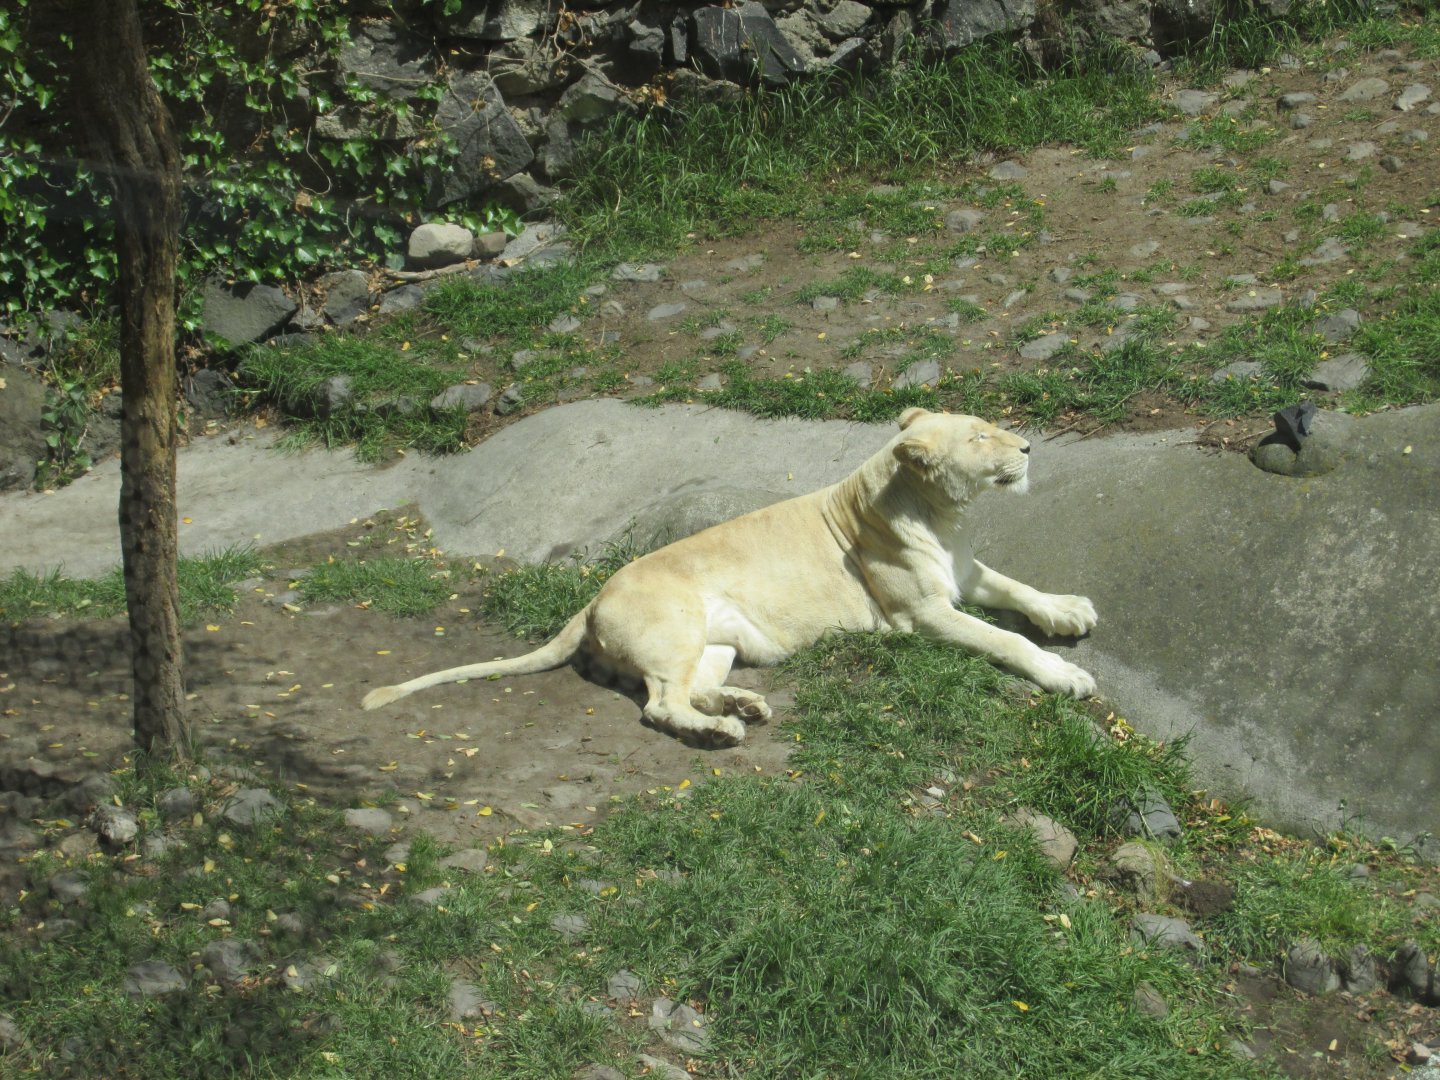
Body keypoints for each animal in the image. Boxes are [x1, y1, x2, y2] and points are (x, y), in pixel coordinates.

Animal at [362, 408, 1097, 744]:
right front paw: (1069, 676)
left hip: (714, 644)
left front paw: (1071, 611)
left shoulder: (964, 577)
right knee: (659, 704)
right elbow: (1007, 639)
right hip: (677, 629)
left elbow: (1020, 592)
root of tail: (593, 596)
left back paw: (743, 706)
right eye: (979, 437)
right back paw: (721, 731)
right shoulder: (922, 615)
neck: (945, 515)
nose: (1028, 447)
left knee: (691, 689)